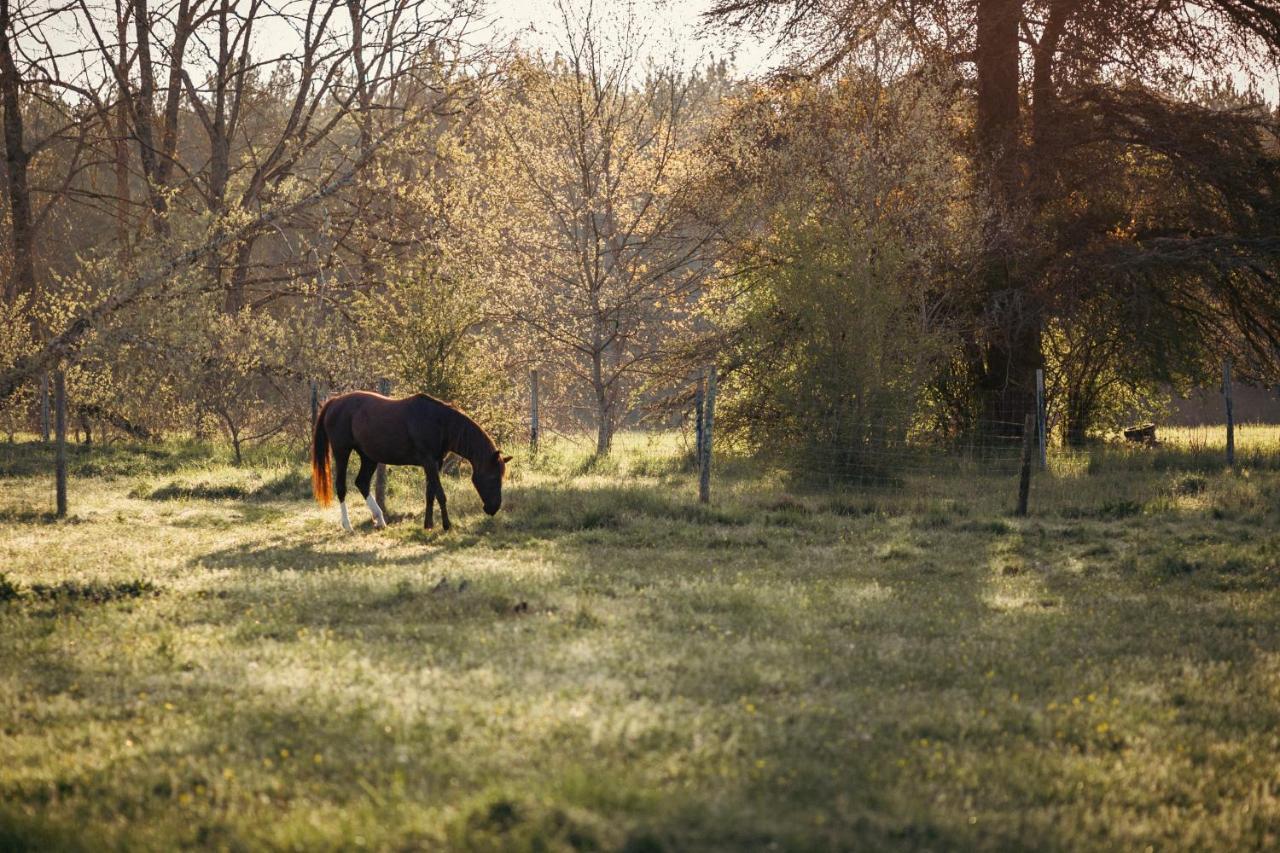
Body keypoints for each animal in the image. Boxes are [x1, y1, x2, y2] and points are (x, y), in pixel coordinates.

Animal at [309, 389, 509, 527]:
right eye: (492, 477)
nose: (493, 508)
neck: (439, 423)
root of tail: (334, 401)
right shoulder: (429, 462)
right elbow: (440, 494)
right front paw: (446, 526)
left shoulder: (435, 464)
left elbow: (430, 493)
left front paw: (428, 525)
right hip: (342, 451)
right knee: (341, 487)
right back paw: (347, 525)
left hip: (368, 456)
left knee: (362, 482)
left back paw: (380, 520)